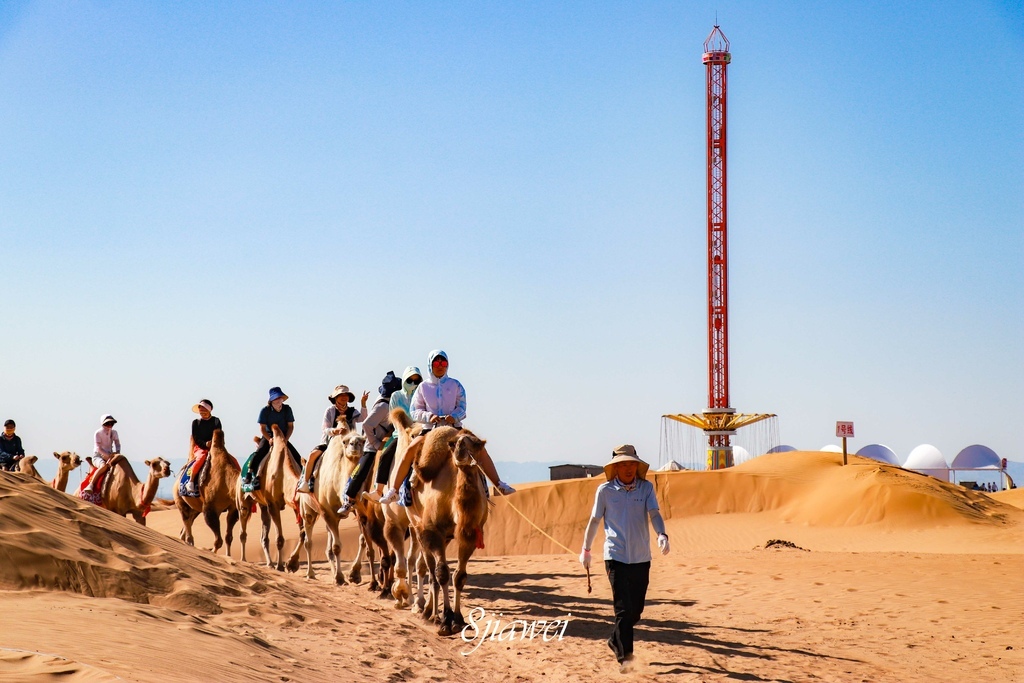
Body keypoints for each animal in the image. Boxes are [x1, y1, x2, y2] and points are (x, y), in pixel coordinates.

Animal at [235, 428, 303, 573]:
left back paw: (270, 564)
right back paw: (244, 560)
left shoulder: (294, 506)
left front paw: (291, 564)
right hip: (243, 501)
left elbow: (302, 534)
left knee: (264, 536)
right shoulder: (273, 504)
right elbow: (280, 538)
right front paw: (281, 566)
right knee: (243, 531)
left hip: (262, 505)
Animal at [296, 432, 368, 581]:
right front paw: (340, 577)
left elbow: (362, 539)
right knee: (308, 541)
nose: (355, 444)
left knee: (326, 546)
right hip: (307, 510)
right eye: (345, 441)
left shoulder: (357, 510)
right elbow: (336, 546)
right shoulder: (327, 512)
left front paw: (354, 574)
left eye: (363, 441)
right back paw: (310, 573)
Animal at [389, 409, 489, 638]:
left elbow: (459, 576)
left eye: (475, 444)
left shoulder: (469, 533)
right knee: (428, 567)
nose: (460, 448)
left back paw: (427, 610)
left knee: (428, 567)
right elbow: (442, 574)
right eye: (453, 445)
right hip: (418, 527)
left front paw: (459, 620)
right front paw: (446, 620)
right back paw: (429, 613)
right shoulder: (433, 530)